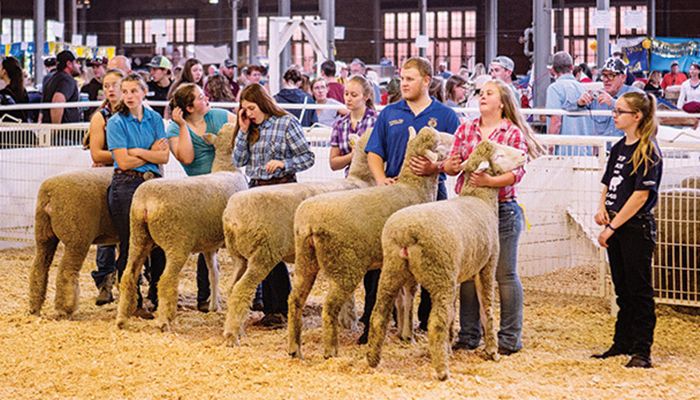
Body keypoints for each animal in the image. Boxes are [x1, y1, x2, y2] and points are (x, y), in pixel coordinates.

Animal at [27, 166, 117, 316]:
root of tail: (49, 192)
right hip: (77, 237)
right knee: (66, 271)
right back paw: (65, 309)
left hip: (43, 234)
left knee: (39, 268)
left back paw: (35, 308)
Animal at [114, 123, 246, 330]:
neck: (227, 167)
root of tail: (146, 203)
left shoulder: (208, 244)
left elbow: (213, 273)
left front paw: (214, 306)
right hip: (177, 241)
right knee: (166, 279)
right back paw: (163, 322)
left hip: (137, 235)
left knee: (129, 275)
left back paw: (121, 319)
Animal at [223, 130, 378, 346]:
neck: (361, 180)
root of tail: (230, 216)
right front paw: (350, 320)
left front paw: (345, 320)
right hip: (261, 254)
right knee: (241, 290)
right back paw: (232, 336)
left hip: (239, 256)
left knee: (231, 288)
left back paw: (237, 331)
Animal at [288, 126, 456, 358]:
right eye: (439, 143)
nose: (457, 136)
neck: (413, 187)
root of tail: (309, 223)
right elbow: (409, 295)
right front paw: (408, 334)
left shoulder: (392, 260)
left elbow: (400, 298)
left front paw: (401, 331)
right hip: (345, 265)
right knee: (329, 307)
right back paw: (331, 351)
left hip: (305, 259)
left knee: (295, 300)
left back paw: (294, 348)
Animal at [366, 141, 524, 382]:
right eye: (499, 154)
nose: (524, 153)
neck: (480, 199)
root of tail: (408, 233)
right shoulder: (487, 265)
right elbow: (486, 307)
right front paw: (492, 351)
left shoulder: (457, 274)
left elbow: (454, 311)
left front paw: (451, 345)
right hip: (440, 275)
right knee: (436, 323)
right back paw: (442, 371)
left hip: (393, 271)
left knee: (379, 314)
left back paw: (373, 360)